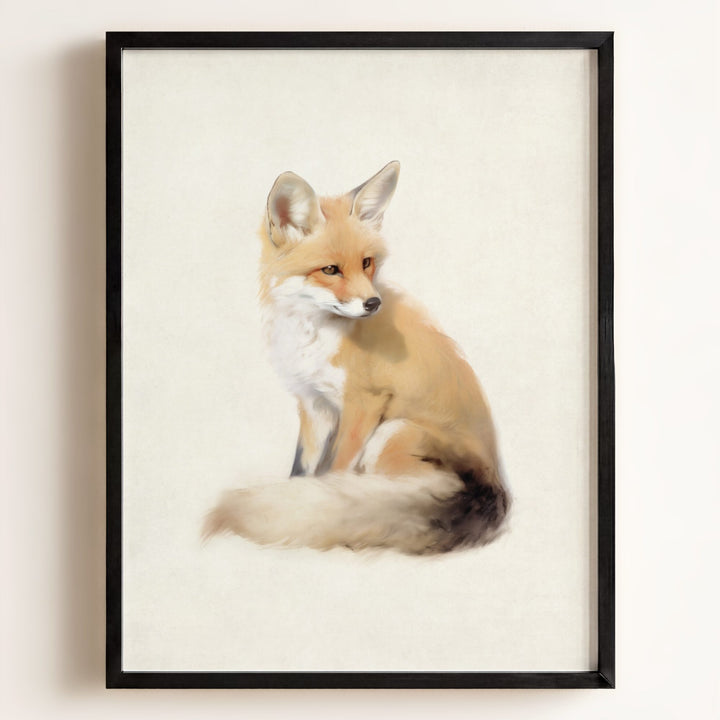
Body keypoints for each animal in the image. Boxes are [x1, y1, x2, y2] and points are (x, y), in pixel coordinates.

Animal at [204, 161, 510, 554]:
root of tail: (495, 488)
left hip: (391, 432)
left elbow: (335, 472)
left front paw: (319, 508)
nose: (373, 303)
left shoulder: (364, 404)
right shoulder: (313, 405)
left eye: (366, 262)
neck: (311, 337)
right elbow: (303, 468)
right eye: (330, 270)